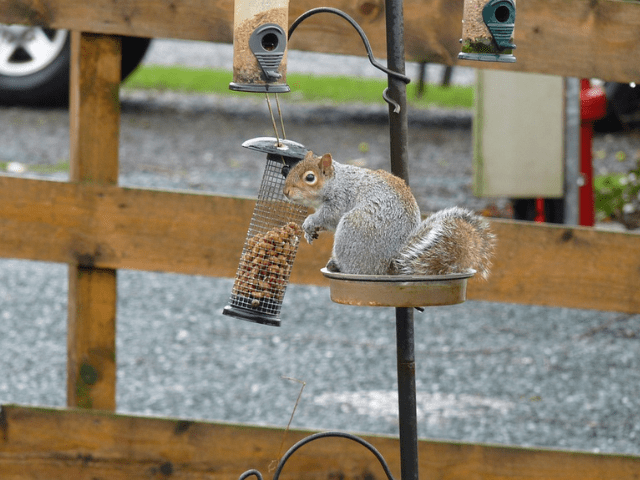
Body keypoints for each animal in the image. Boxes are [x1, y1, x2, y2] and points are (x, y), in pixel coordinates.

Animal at [282, 150, 498, 278]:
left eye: (310, 177)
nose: (285, 192)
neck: (338, 181)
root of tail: (389, 266)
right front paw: (309, 231)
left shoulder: (341, 200)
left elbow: (329, 216)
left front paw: (310, 222)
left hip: (354, 227)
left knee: (359, 270)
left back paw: (340, 266)